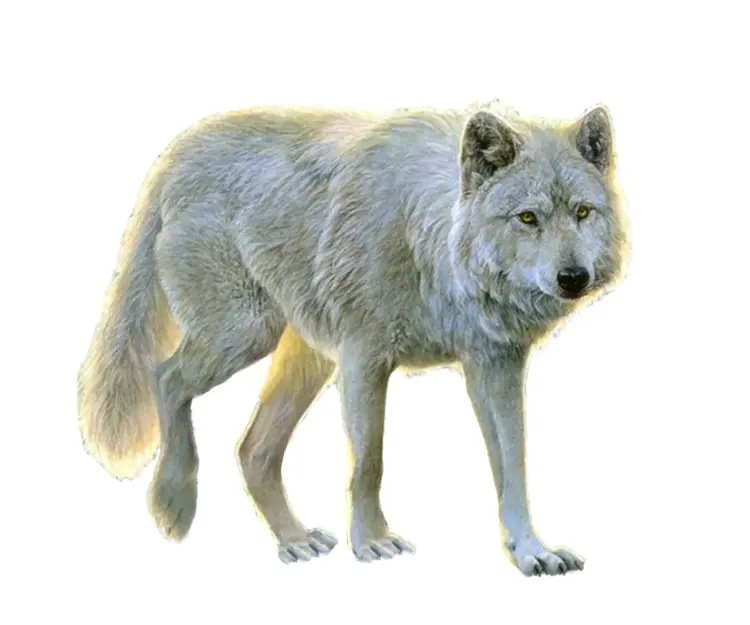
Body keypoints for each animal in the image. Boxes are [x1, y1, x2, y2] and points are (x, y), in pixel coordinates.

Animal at [77, 99, 630, 576]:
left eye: (582, 212)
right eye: (528, 218)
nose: (573, 278)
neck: (429, 242)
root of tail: (179, 151)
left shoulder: (495, 365)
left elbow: (513, 464)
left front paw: (532, 551)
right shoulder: (365, 358)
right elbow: (370, 462)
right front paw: (372, 541)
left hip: (304, 360)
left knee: (252, 450)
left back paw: (294, 540)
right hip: (242, 334)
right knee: (164, 377)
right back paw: (174, 503)